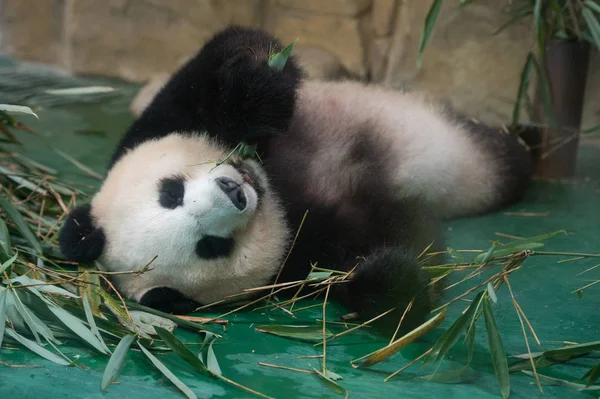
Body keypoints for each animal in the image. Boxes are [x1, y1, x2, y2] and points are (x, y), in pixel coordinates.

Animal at [58, 25, 532, 332]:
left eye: (170, 192)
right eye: (210, 247)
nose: (234, 191)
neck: (280, 195)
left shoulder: (158, 122)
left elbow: (228, 54)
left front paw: (256, 88)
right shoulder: (302, 259)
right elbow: (393, 243)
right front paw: (387, 281)